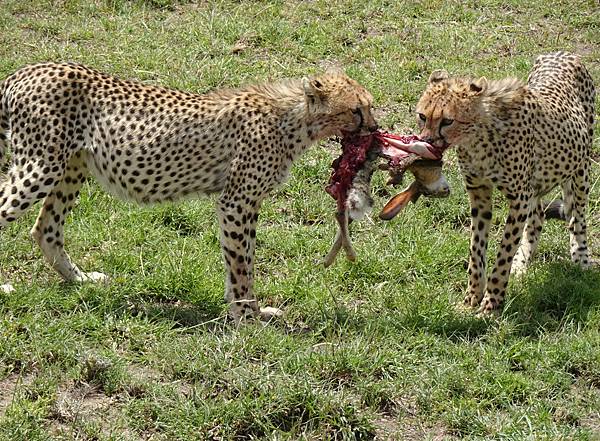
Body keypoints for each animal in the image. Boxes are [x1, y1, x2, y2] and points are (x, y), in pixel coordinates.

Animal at [0, 62, 376, 322]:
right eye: (356, 109)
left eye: (368, 107)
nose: (375, 129)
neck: (293, 119)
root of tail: (28, 70)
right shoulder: (236, 201)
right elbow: (241, 263)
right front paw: (246, 317)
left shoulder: (246, 202)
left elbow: (245, 258)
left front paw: (252, 311)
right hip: (40, 167)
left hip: (71, 167)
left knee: (46, 229)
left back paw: (80, 280)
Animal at [418, 51, 596, 312]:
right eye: (422, 116)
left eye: (447, 121)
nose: (427, 141)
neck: (478, 137)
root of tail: (563, 52)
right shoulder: (479, 191)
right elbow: (476, 248)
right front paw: (472, 298)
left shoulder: (519, 198)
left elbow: (504, 251)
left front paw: (491, 304)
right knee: (538, 217)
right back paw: (523, 263)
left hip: (580, 168)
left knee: (578, 217)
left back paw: (581, 259)